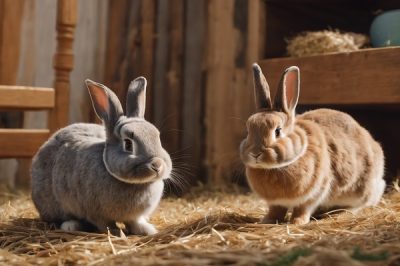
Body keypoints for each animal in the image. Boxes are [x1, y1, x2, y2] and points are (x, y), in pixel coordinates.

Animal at [29, 77, 170, 235]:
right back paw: (71, 225)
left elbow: (134, 222)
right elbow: (105, 224)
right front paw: (118, 233)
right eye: (128, 144)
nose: (157, 165)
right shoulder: (95, 213)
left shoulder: (133, 217)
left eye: (157, 137)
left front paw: (147, 230)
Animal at [239, 64, 386, 224]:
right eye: (248, 131)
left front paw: (297, 222)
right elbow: (276, 211)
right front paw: (266, 221)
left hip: (362, 190)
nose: (255, 154)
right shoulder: (276, 203)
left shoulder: (314, 194)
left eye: (277, 131)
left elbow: (302, 209)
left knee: (362, 203)